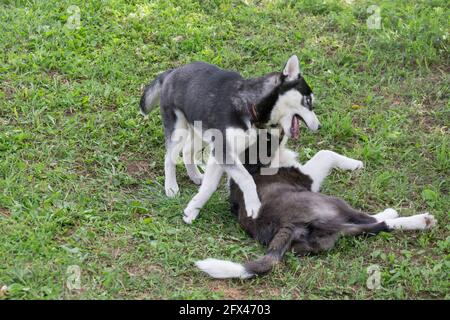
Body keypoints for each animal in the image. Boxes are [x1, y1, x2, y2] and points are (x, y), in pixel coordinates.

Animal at [141, 55, 320, 224]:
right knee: (169, 158)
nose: (319, 126)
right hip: (178, 130)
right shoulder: (223, 151)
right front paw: (253, 204)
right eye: (308, 100)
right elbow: (247, 178)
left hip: (201, 131)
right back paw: (171, 187)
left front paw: (192, 210)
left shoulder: (220, 153)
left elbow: (210, 185)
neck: (250, 105)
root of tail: (172, 72)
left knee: (186, 151)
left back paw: (195, 176)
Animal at [196, 132, 436, 278]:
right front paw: (356, 164)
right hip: (332, 203)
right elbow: (325, 153)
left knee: (375, 227)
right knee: (374, 220)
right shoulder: (308, 177)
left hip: (331, 234)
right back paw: (409, 216)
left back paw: (419, 222)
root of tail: (285, 225)